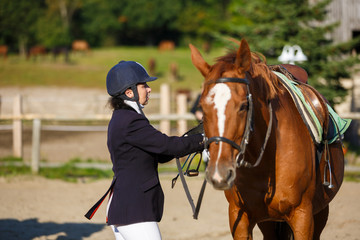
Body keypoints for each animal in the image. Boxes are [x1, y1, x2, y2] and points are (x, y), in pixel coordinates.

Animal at [190, 38, 344, 239]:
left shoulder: (303, 216)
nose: (219, 172)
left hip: (320, 212)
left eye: (244, 105)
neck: (266, 159)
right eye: (202, 107)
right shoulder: (239, 217)